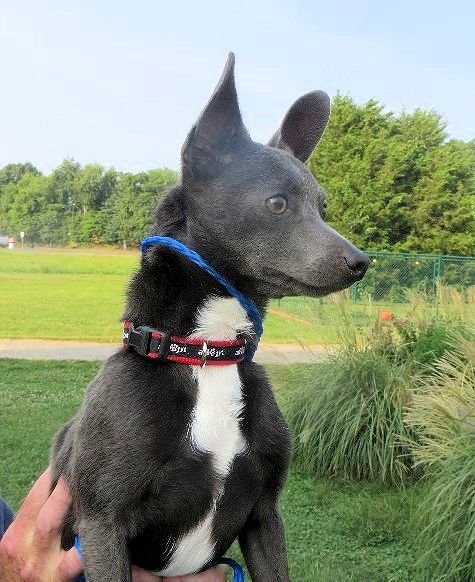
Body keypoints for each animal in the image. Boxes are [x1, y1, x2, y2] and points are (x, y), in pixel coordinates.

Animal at [51, 52, 372, 580]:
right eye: (277, 203)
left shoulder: (265, 514)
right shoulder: (101, 524)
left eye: (322, 208)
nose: (361, 262)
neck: (207, 352)